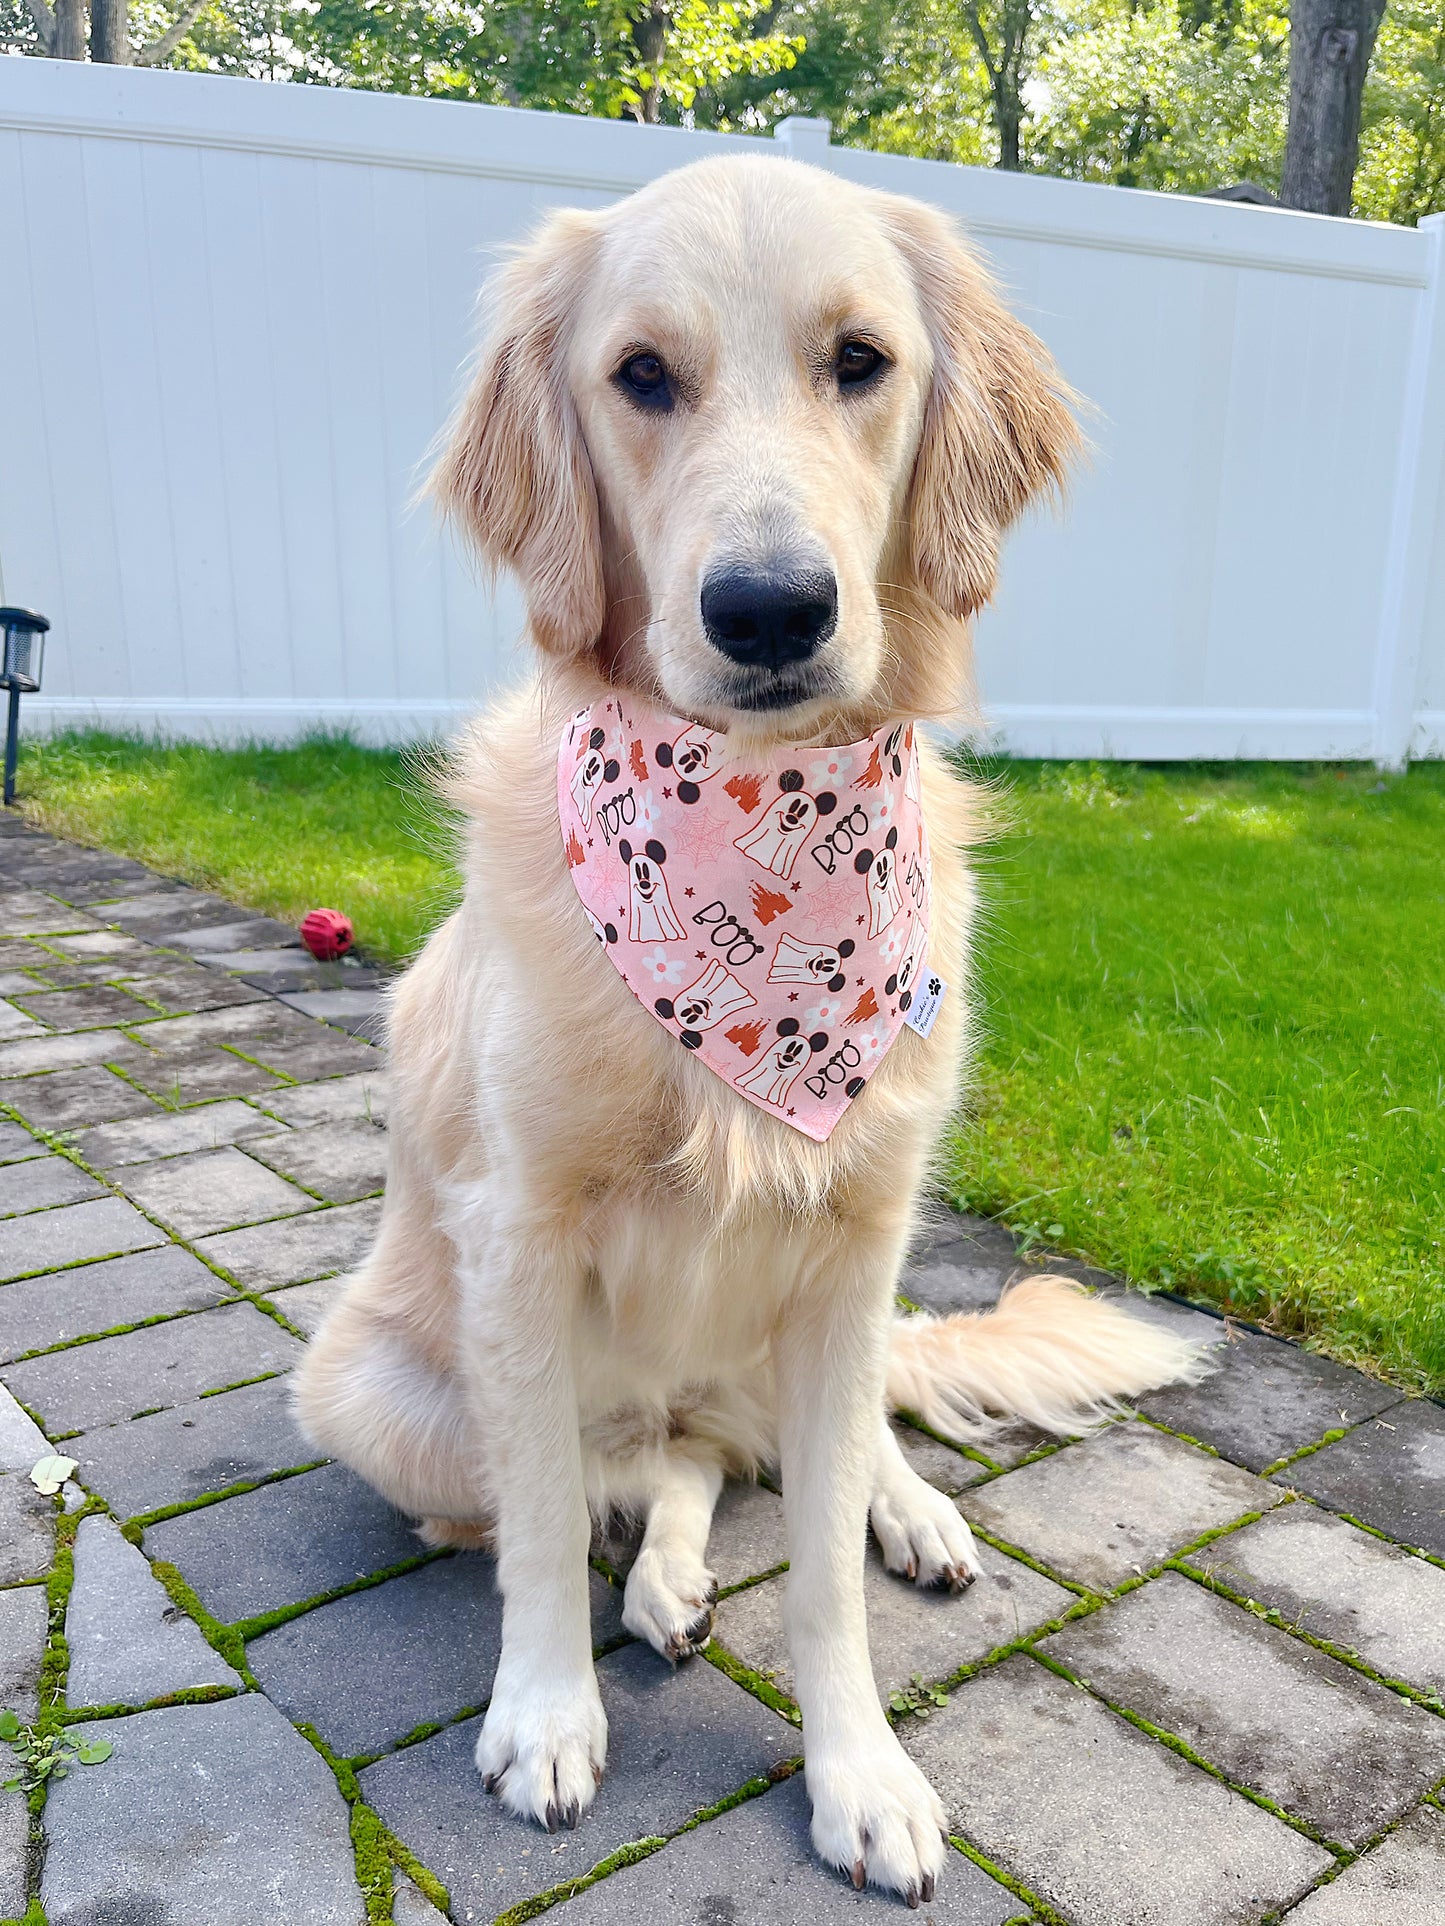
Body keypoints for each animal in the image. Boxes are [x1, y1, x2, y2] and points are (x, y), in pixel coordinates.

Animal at [290, 157, 1202, 1902]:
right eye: (642, 375)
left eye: (860, 360)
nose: (770, 609)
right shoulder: (519, 1237)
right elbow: (540, 1515)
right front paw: (546, 1712)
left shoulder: (855, 1236)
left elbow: (828, 1568)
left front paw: (862, 1775)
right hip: (369, 1389)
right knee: (627, 1472)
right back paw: (656, 1582)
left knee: (772, 1450)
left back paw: (901, 1516)